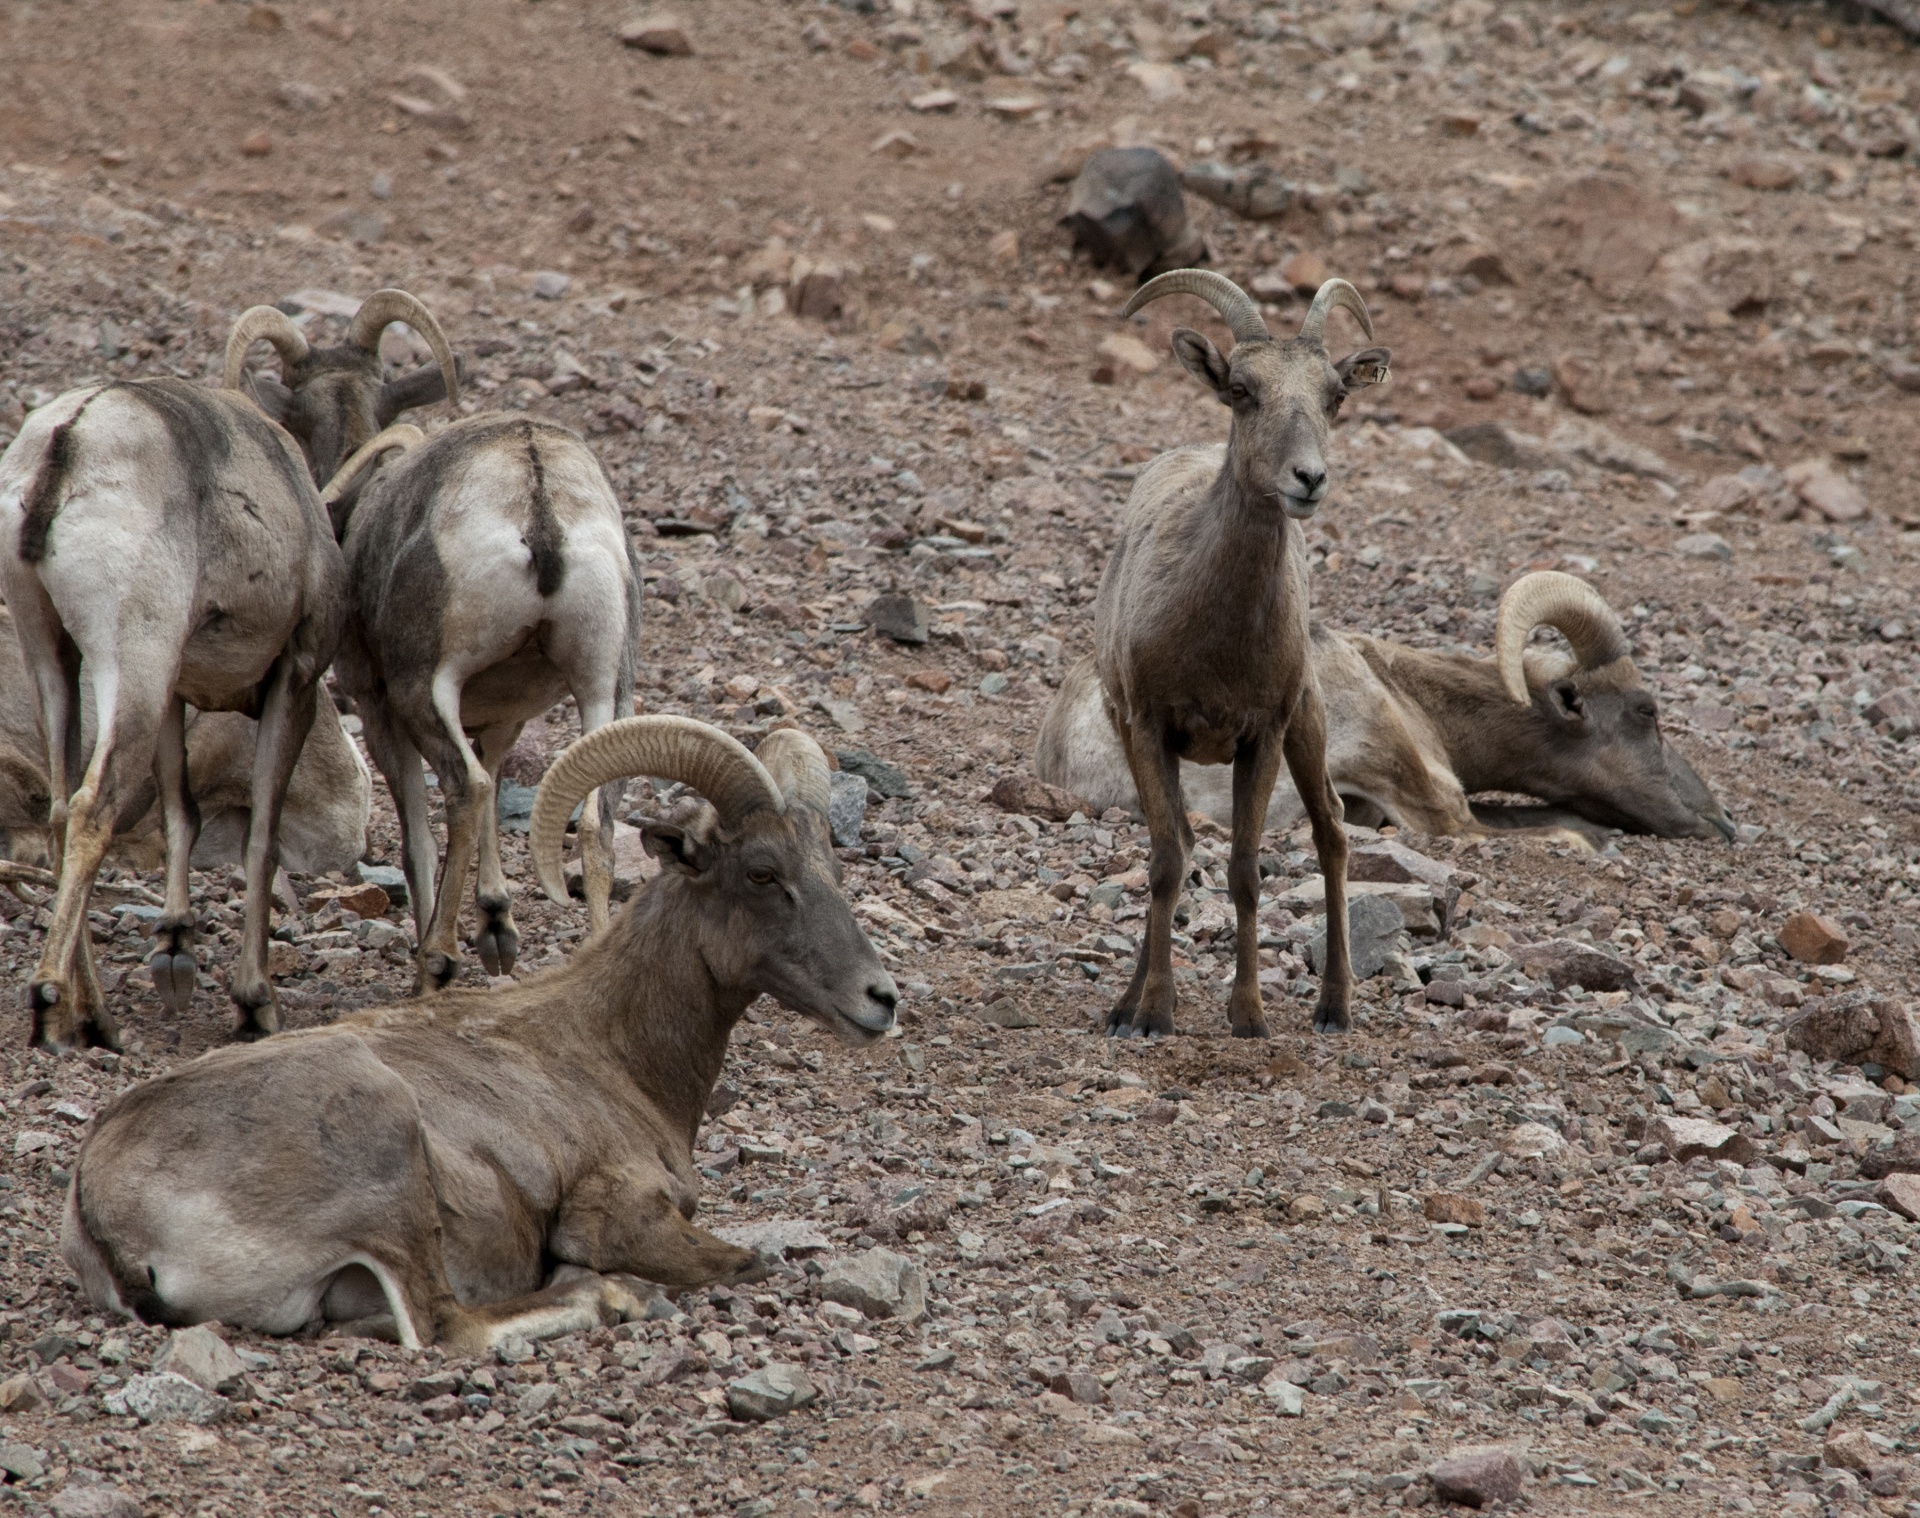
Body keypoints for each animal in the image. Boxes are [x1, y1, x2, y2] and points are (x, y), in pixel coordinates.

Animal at [0, 374, 349, 1051]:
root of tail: (70, 441)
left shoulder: (175, 694)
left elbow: (181, 815)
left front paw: (175, 949)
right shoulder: (292, 681)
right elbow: (261, 837)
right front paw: (255, 1003)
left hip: (52, 650)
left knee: (60, 811)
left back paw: (95, 1017)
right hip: (131, 662)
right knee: (92, 807)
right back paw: (55, 1007)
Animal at [61, 717, 898, 1358]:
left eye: (828, 866)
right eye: (762, 873)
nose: (880, 999)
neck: (617, 1054)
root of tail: (106, 1211)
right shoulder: (622, 1216)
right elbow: (746, 1261)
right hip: (391, 1166)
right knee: (445, 1326)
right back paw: (608, 1296)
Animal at [229, 291, 637, 990]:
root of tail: (536, 496)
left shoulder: (380, 707)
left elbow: (421, 839)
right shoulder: (503, 715)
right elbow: (498, 774)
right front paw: (498, 929)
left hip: (426, 689)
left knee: (466, 789)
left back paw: (437, 961)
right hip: (602, 689)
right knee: (593, 817)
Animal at [1098, 266, 1382, 1036]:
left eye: (1334, 396)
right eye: (1241, 389)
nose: (1308, 479)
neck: (1217, 643)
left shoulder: (1263, 735)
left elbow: (1247, 872)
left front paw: (1249, 1016)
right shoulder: (1148, 727)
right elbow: (1167, 862)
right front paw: (1151, 1013)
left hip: (1308, 723)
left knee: (1332, 834)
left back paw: (1335, 1007)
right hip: (1129, 733)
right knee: (1175, 844)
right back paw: (1125, 1002)